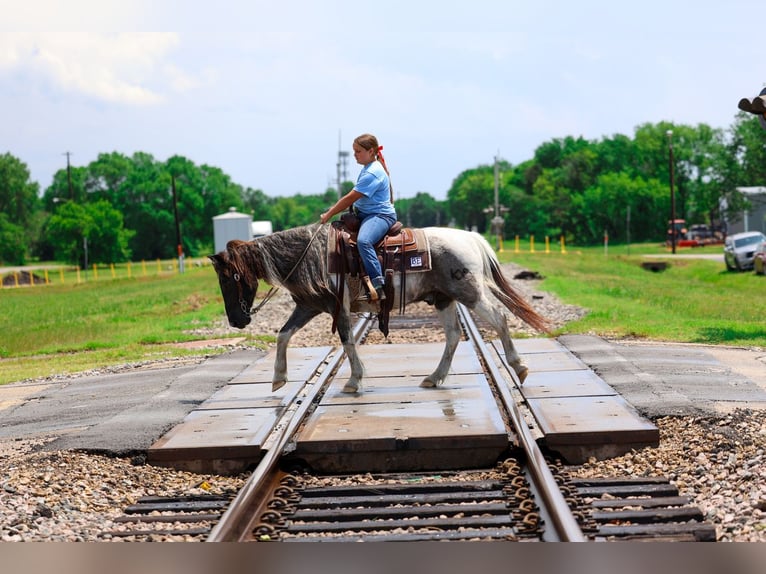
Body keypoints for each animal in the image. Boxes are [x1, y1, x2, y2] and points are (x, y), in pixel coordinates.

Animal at [209, 223, 549, 394]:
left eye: (229, 278)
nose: (236, 321)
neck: (310, 256)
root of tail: (471, 237)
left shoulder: (339, 308)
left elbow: (347, 341)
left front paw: (354, 380)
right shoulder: (309, 306)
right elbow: (283, 335)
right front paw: (278, 378)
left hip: (469, 293)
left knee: (499, 318)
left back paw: (519, 367)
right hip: (444, 298)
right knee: (453, 335)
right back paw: (434, 377)